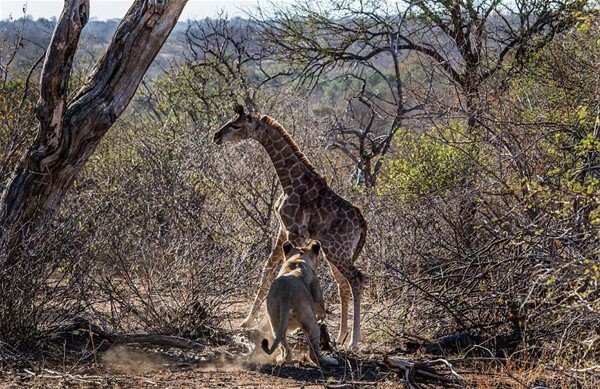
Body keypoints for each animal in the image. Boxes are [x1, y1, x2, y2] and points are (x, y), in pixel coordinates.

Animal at [213, 104, 368, 348]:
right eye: (230, 121)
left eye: (236, 126)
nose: (216, 136)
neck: (289, 180)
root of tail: (362, 222)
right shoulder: (282, 229)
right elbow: (267, 269)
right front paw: (248, 320)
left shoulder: (296, 231)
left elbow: (287, 268)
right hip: (336, 252)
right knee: (343, 283)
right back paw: (341, 336)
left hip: (337, 249)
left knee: (357, 279)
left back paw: (353, 340)